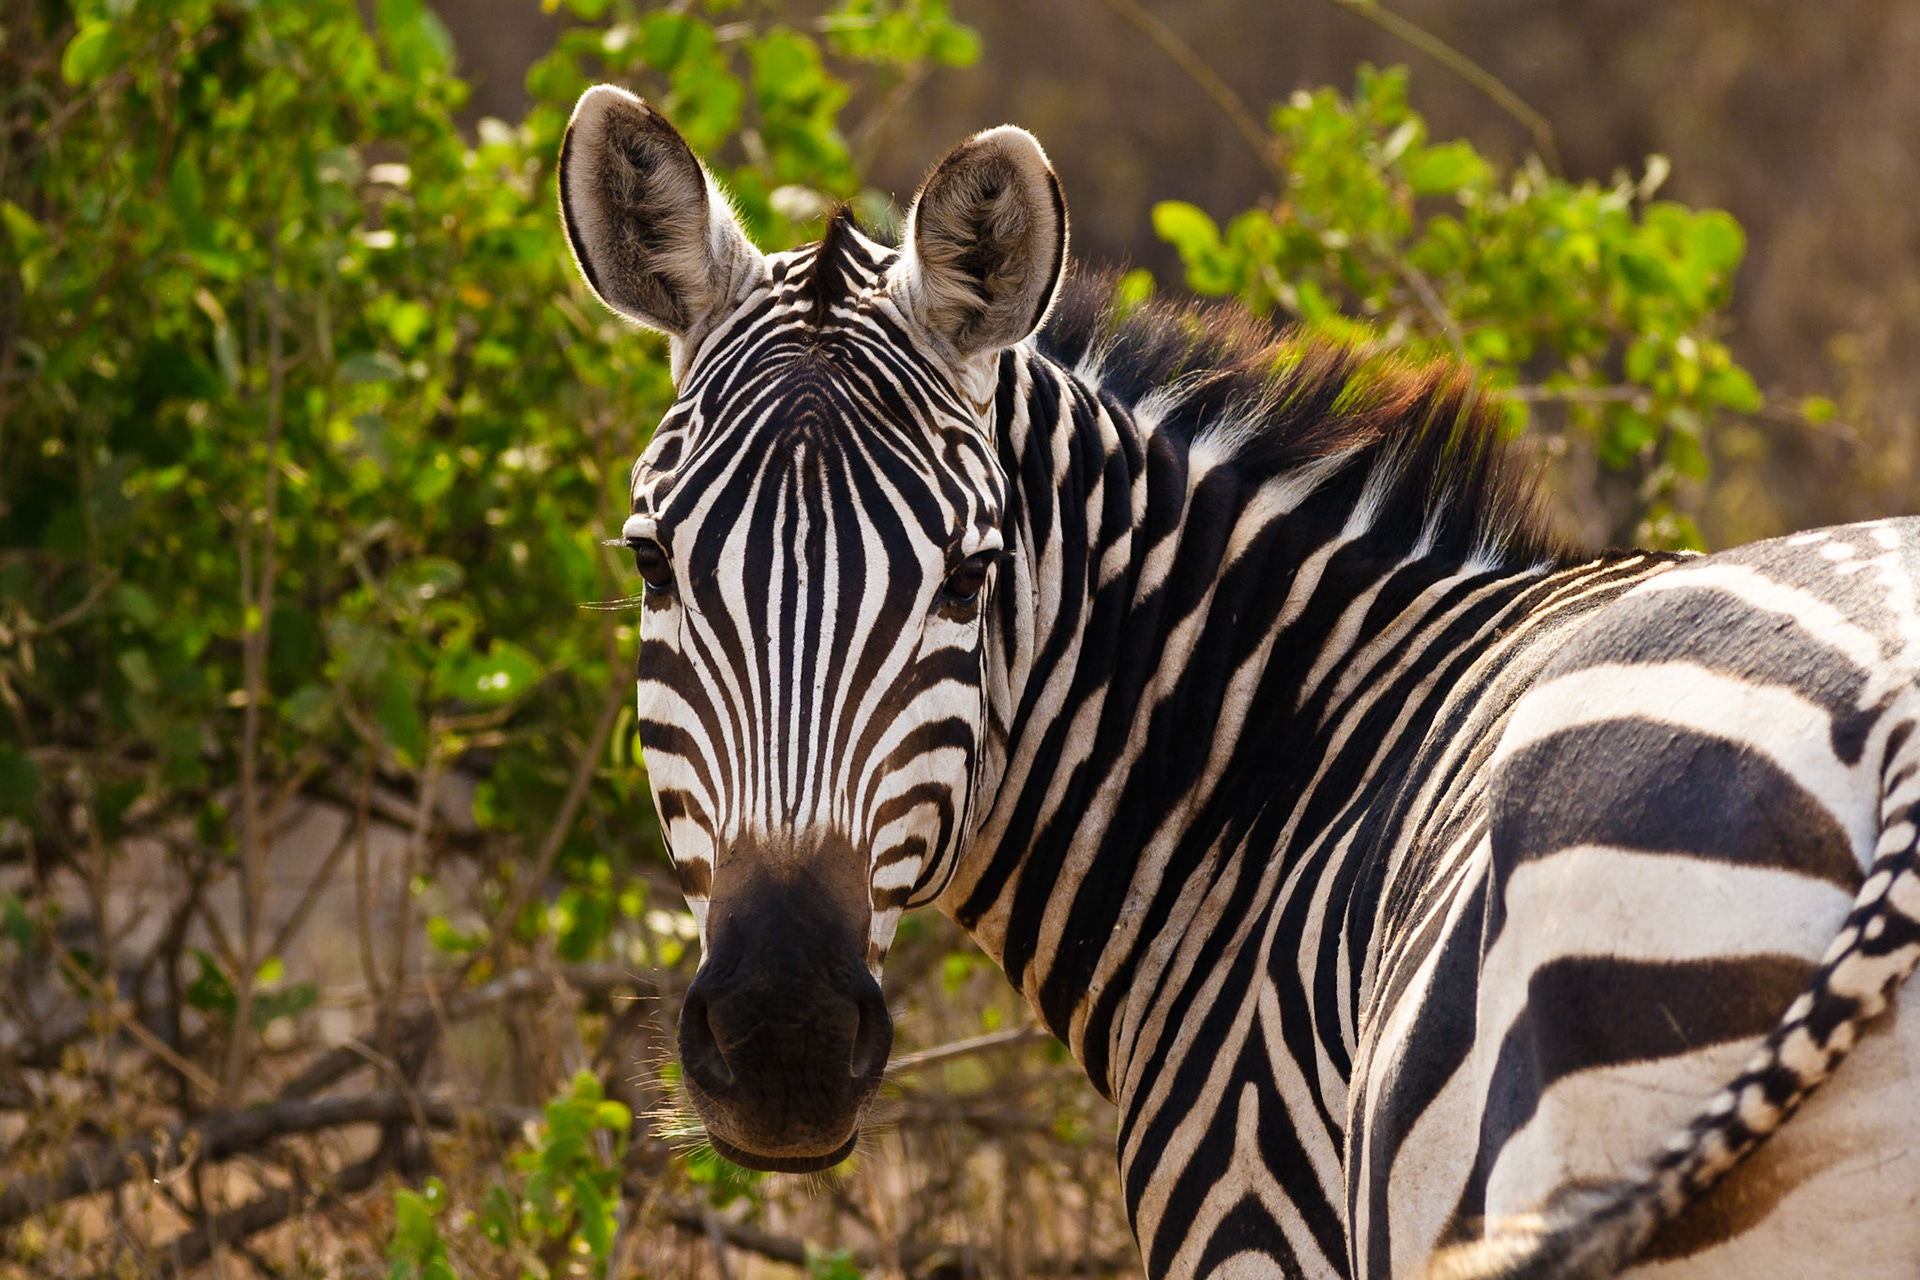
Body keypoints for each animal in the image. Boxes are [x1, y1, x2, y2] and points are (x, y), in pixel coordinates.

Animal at [555, 83, 1920, 1279]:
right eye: (652, 563)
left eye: (971, 575)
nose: (781, 1043)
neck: (1272, 779)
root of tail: (1895, 734)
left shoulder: (1257, 1220)